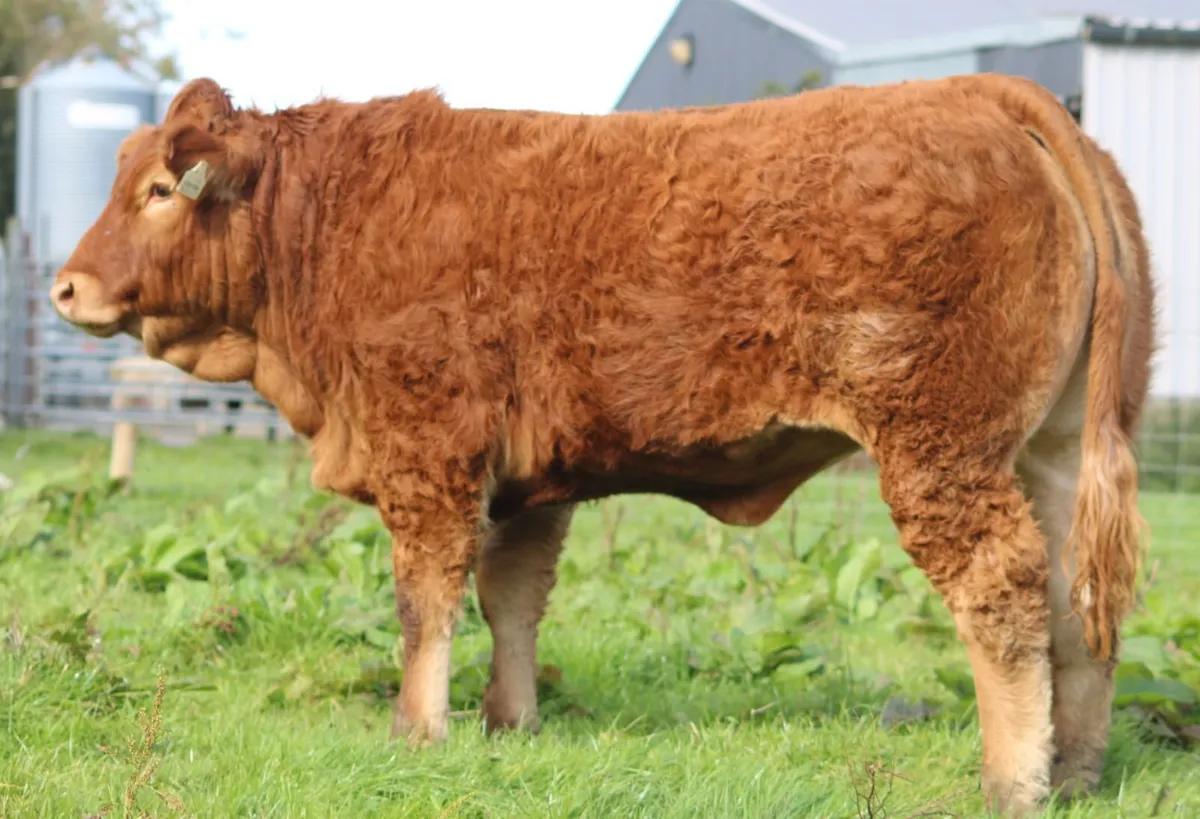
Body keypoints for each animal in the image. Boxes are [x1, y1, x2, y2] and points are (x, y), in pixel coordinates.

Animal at [48, 72, 1156, 815]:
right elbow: (511, 601)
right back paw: (1076, 771)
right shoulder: (525, 484)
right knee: (1079, 602)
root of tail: (981, 93)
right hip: (1052, 451)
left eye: (158, 189)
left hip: (942, 450)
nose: (66, 286)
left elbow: (424, 605)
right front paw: (509, 723)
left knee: (1003, 590)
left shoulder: (429, 453)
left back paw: (1010, 780)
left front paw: (417, 732)